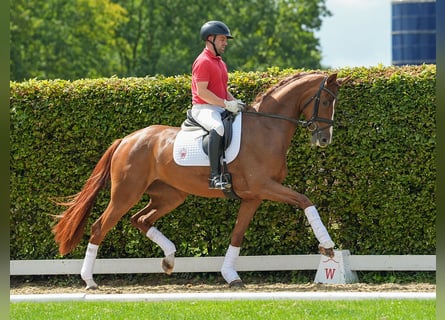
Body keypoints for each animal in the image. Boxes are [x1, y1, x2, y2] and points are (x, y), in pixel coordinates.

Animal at [53, 71, 346, 288]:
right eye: (326, 101)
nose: (324, 139)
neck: (266, 127)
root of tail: (126, 139)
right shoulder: (265, 186)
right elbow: (305, 200)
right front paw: (329, 247)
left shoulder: (253, 196)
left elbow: (237, 235)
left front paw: (231, 276)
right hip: (126, 193)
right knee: (100, 227)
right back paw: (90, 280)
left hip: (170, 195)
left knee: (141, 220)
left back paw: (169, 260)